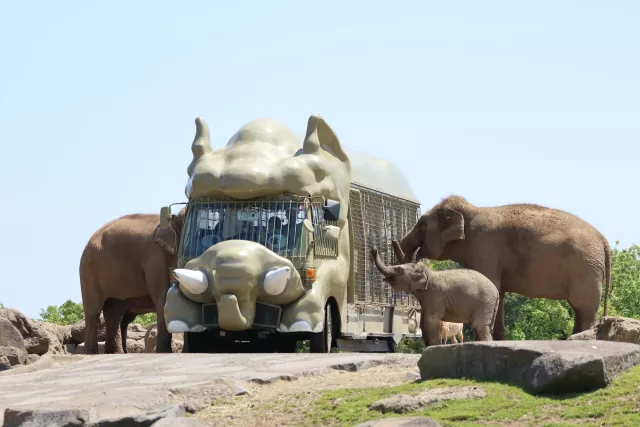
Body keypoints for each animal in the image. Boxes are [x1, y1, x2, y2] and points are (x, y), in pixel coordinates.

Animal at [79, 209, 185, 354]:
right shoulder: (155, 257)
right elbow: (162, 296)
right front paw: (165, 352)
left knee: (113, 312)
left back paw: (115, 353)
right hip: (89, 270)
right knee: (93, 311)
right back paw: (92, 353)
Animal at [371, 241, 499, 346]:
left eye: (399, 270)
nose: (373, 249)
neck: (428, 272)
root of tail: (496, 291)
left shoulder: (435, 296)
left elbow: (430, 320)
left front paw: (433, 346)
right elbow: (423, 321)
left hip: (485, 302)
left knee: (480, 325)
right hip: (489, 304)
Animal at [397, 195, 612, 340]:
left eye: (422, 225)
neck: (472, 211)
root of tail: (603, 240)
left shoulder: (485, 249)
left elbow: (491, 284)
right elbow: (497, 291)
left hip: (586, 269)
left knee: (584, 309)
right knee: (580, 310)